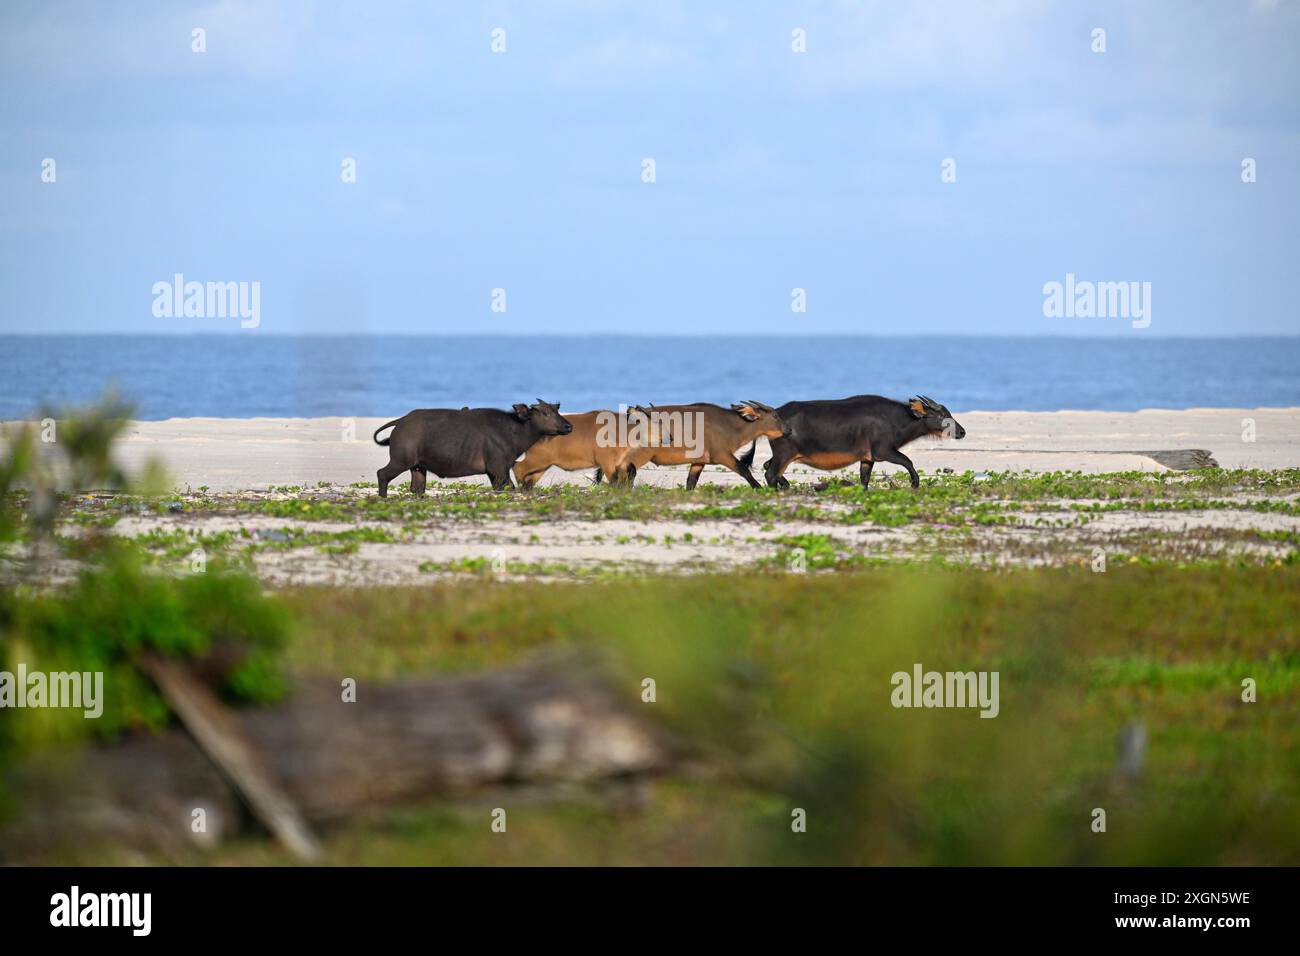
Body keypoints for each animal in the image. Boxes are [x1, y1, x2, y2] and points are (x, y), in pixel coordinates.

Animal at [369, 400, 566, 496]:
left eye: (556, 411)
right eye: (545, 413)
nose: (568, 426)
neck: (512, 429)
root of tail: (401, 421)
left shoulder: (494, 473)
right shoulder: (499, 469)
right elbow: (510, 487)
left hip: (418, 468)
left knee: (417, 488)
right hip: (400, 461)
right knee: (382, 474)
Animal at [754, 395, 967, 489]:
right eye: (941, 415)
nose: (962, 431)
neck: (895, 420)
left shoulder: (868, 458)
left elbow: (864, 479)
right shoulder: (884, 451)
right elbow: (908, 461)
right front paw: (915, 483)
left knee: (767, 466)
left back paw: (786, 484)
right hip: (785, 454)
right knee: (770, 473)